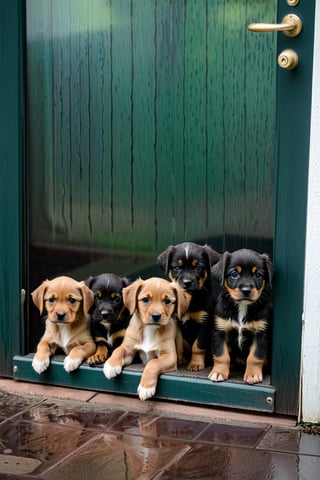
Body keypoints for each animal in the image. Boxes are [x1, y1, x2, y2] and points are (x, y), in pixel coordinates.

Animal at [157, 242, 220, 374]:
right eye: (177, 268)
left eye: (198, 268)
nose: (187, 282)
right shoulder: (177, 323)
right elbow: (178, 343)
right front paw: (178, 360)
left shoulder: (204, 322)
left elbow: (198, 346)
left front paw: (196, 364)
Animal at [209, 249, 274, 384]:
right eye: (234, 274)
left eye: (257, 275)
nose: (246, 290)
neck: (242, 307)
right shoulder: (220, 330)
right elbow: (221, 355)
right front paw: (218, 372)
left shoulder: (261, 333)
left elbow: (255, 356)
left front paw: (253, 375)